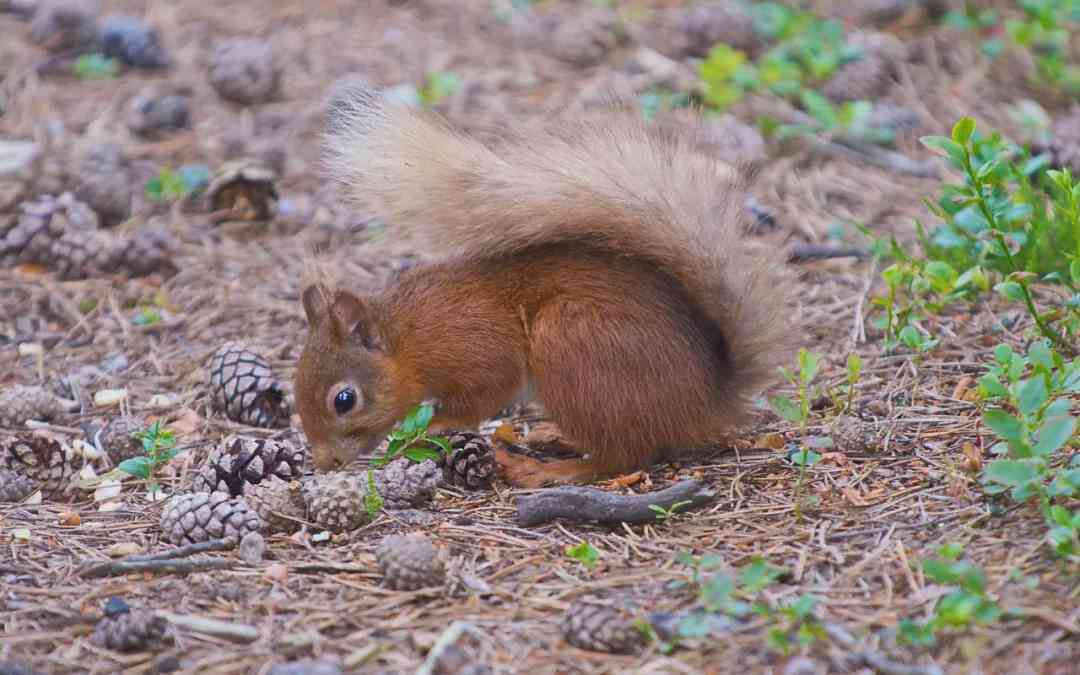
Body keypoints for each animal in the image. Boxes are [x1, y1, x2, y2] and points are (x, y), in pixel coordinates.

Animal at [295, 84, 794, 486]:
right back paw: (556, 436)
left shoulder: (476, 348)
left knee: (621, 456)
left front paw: (433, 426)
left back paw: (547, 469)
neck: (410, 338)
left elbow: (485, 393)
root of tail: (708, 402)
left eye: (344, 400)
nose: (323, 464)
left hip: (571, 345)